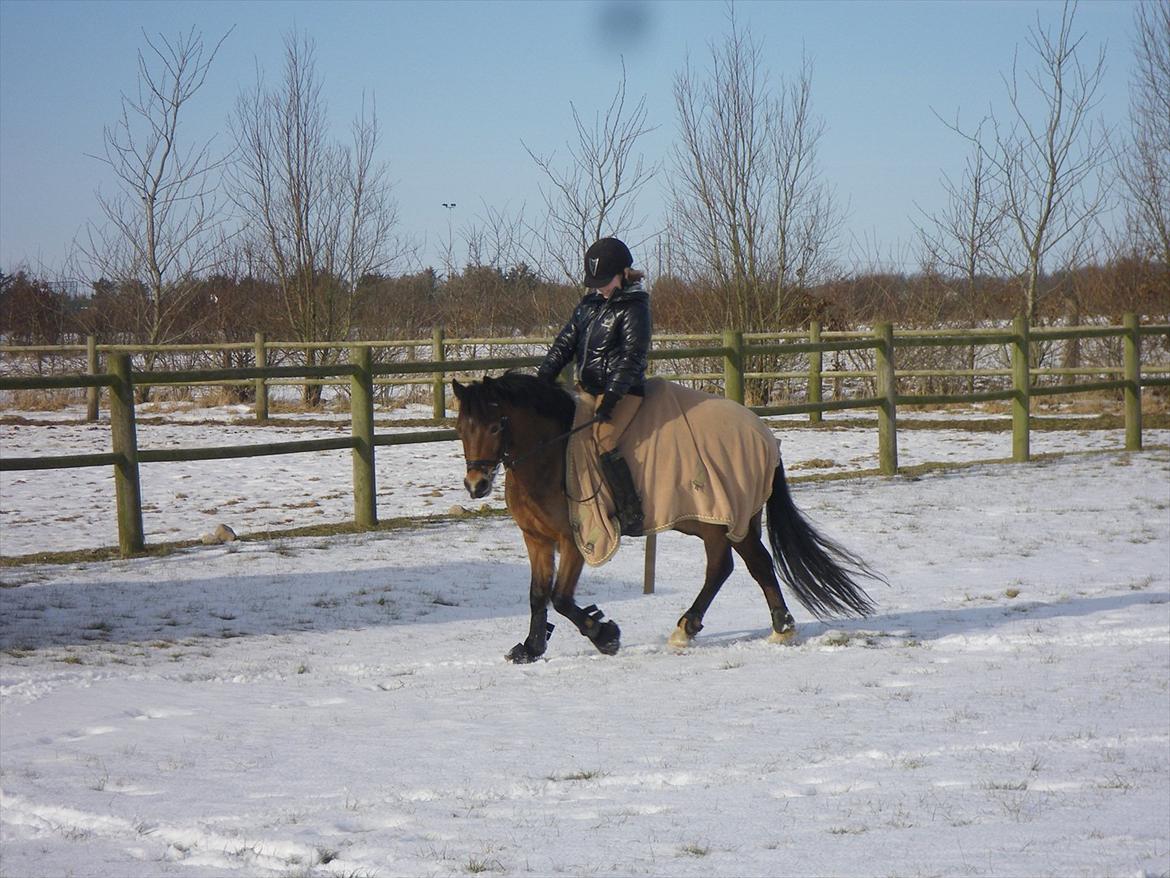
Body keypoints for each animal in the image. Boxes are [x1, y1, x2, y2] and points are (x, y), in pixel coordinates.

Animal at [446, 372, 879, 664]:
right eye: (461, 427)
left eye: (495, 425)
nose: (476, 485)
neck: (551, 454)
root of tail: (763, 433)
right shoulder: (536, 539)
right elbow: (538, 595)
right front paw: (532, 647)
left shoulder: (577, 539)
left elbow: (562, 597)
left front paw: (604, 634)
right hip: (722, 522)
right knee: (737, 566)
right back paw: (733, 627)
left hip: (726, 518)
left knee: (741, 565)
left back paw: (750, 629)